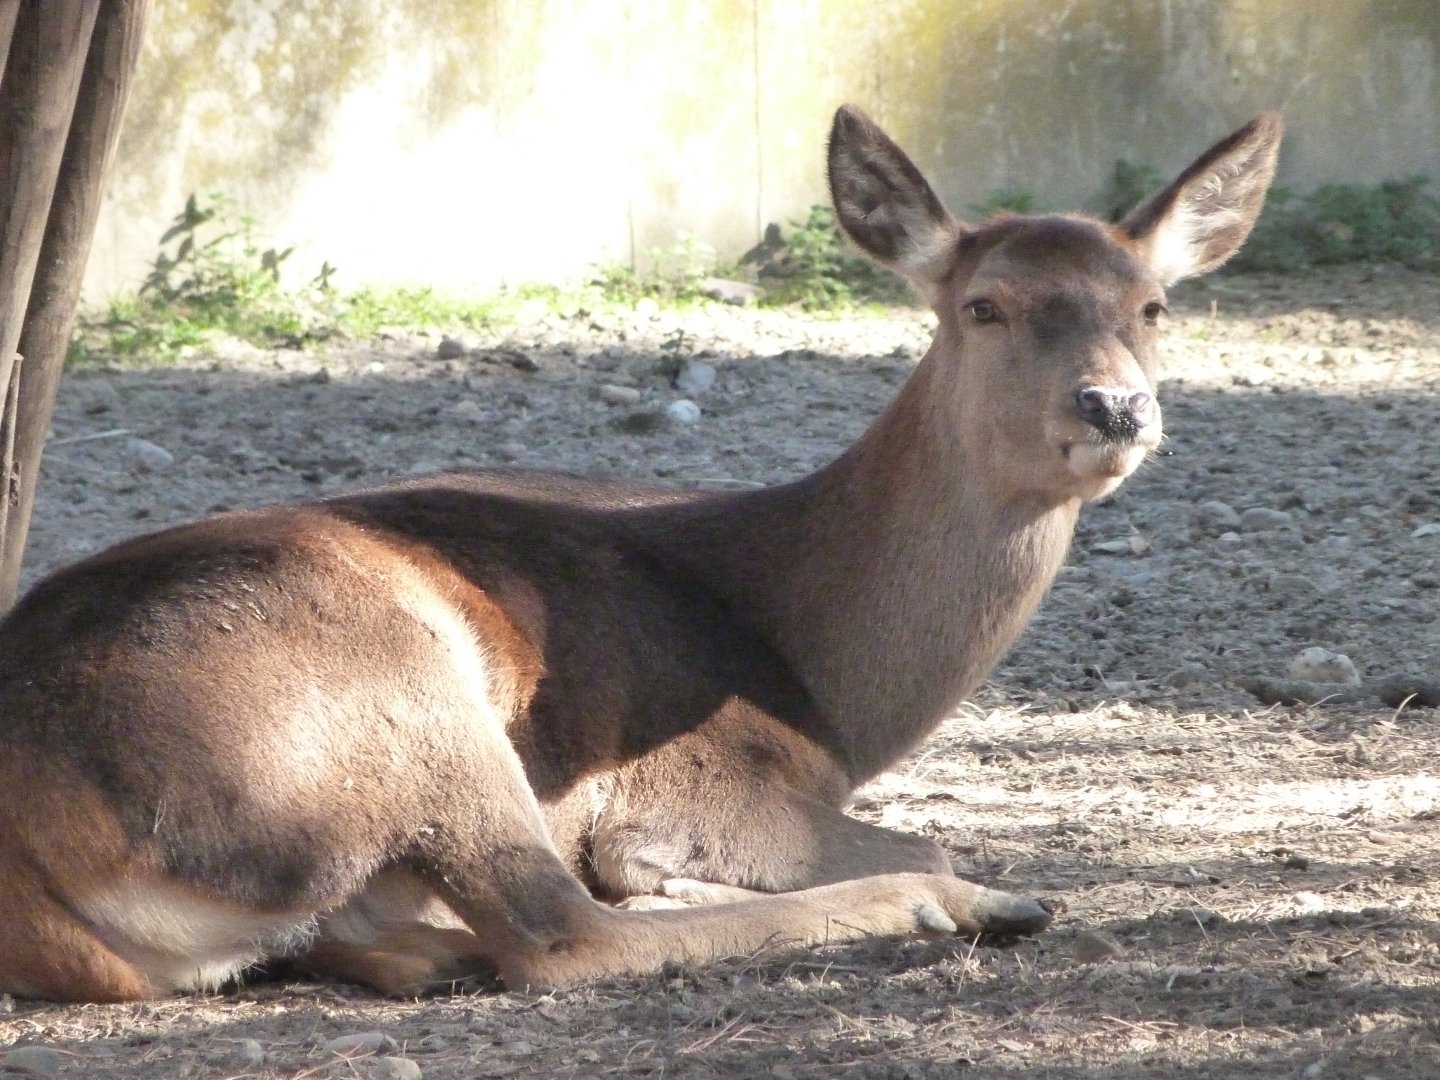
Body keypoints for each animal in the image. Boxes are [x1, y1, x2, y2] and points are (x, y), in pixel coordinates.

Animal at [0, 105, 1281, 1002]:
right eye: (985, 305)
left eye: (1154, 305)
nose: (1114, 407)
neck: (818, 669)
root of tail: (36, 856)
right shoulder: (712, 777)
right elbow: (897, 823)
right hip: (400, 694)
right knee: (559, 933)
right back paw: (955, 904)